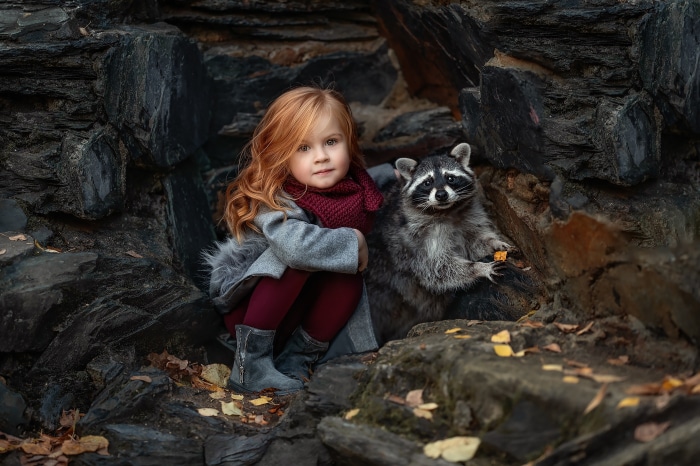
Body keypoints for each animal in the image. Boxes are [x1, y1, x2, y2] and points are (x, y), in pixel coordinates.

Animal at [365, 143, 513, 344]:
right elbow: (437, 269)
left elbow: (475, 240)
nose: (441, 195)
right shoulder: (419, 240)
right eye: (427, 182)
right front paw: (478, 268)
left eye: (450, 178)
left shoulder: (468, 217)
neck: (447, 211)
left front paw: (494, 243)